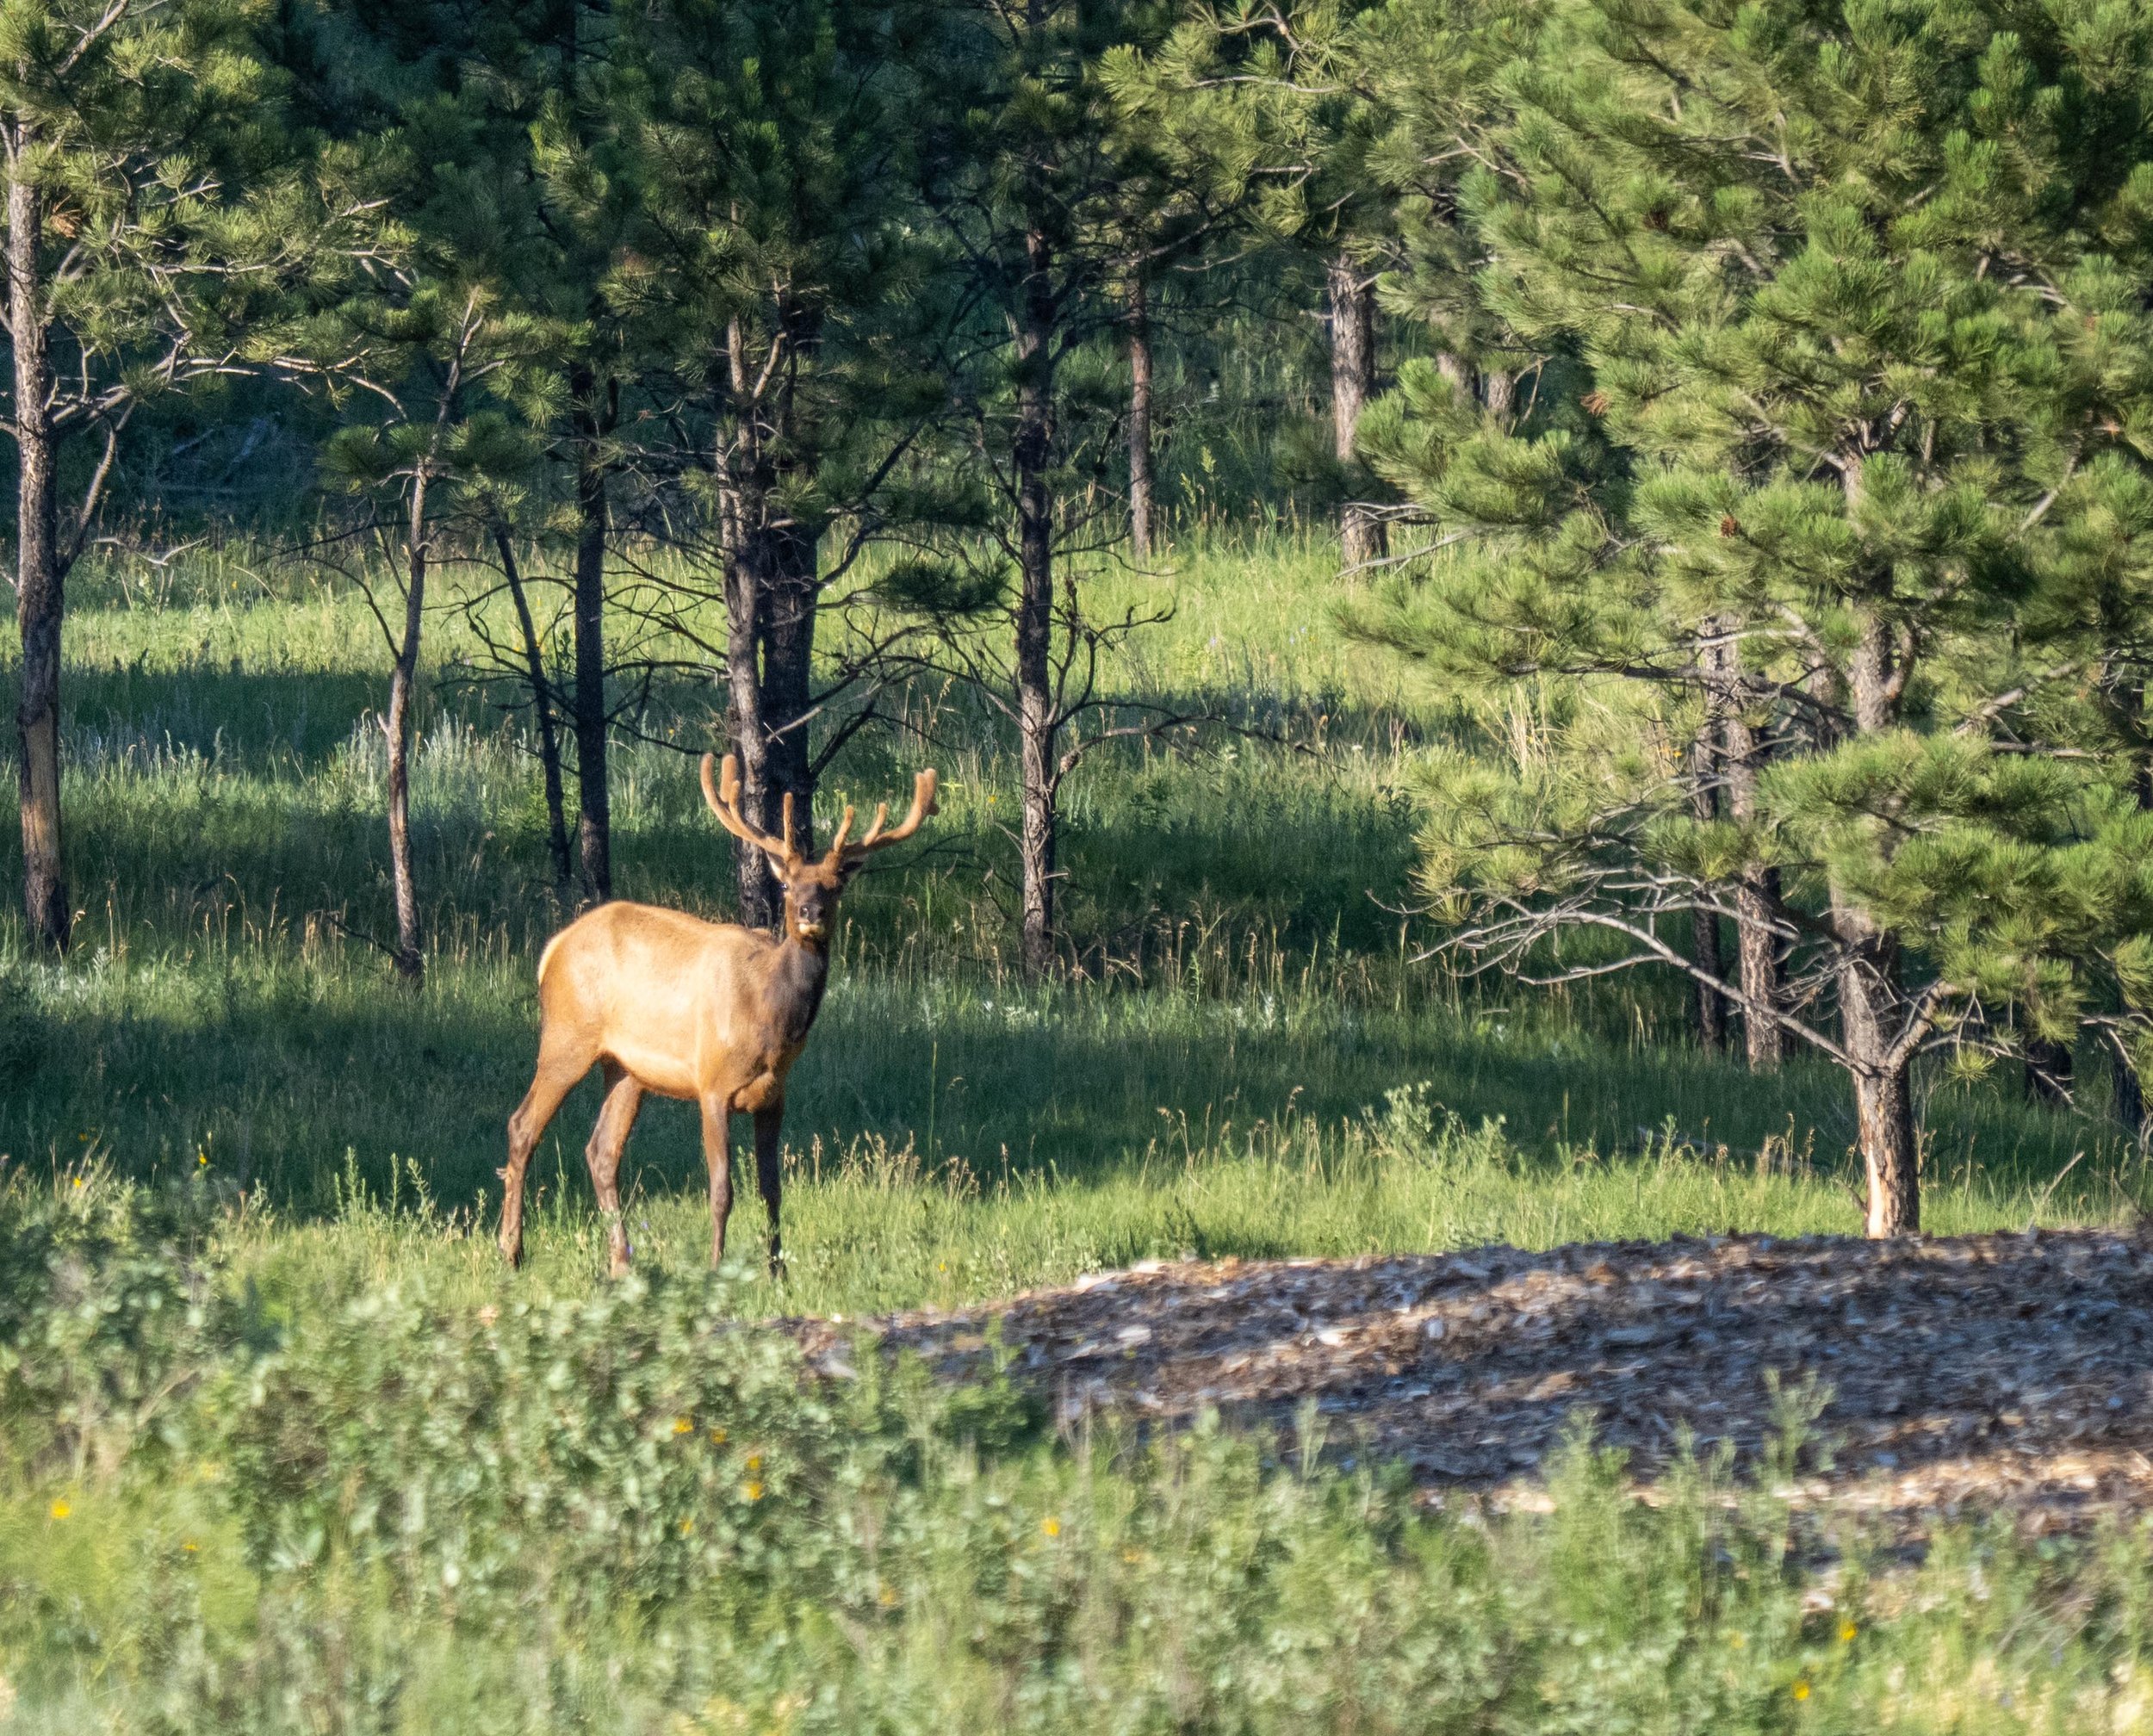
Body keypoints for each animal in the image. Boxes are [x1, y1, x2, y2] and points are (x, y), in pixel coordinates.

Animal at [499, 752, 938, 1278]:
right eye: (786, 884)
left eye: (833, 887)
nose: (809, 912)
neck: (769, 1021)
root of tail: (552, 950)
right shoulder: (711, 1083)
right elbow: (722, 1190)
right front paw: (715, 1267)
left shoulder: (775, 1093)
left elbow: (772, 1189)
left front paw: (778, 1272)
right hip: (567, 1037)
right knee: (523, 1127)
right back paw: (512, 1251)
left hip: (626, 1068)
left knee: (601, 1150)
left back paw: (621, 1263)